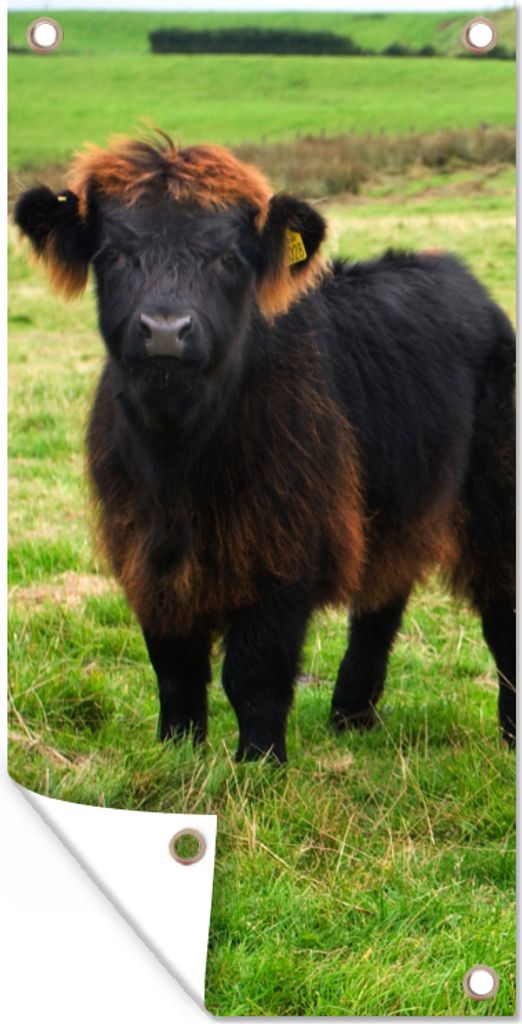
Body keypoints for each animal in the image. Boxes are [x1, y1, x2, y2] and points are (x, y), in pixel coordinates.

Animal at [14, 133, 515, 762]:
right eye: (112, 255)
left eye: (230, 258)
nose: (165, 330)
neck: (181, 457)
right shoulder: (149, 554)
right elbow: (174, 667)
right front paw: (177, 751)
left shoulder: (285, 549)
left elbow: (254, 670)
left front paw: (259, 761)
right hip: (393, 506)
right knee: (381, 601)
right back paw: (351, 715)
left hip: (495, 503)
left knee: (503, 611)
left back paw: (510, 734)